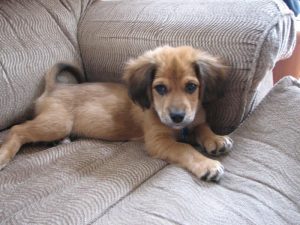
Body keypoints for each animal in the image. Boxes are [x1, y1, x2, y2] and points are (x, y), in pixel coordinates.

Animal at [0, 45, 232, 181]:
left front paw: (217, 139)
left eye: (191, 87)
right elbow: (185, 148)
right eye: (160, 88)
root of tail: (53, 88)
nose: (177, 117)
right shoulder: (158, 141)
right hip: (56, 123)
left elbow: (203, 127)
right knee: (17, 129)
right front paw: (207, 165)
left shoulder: (196, 120)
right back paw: (4, 155)